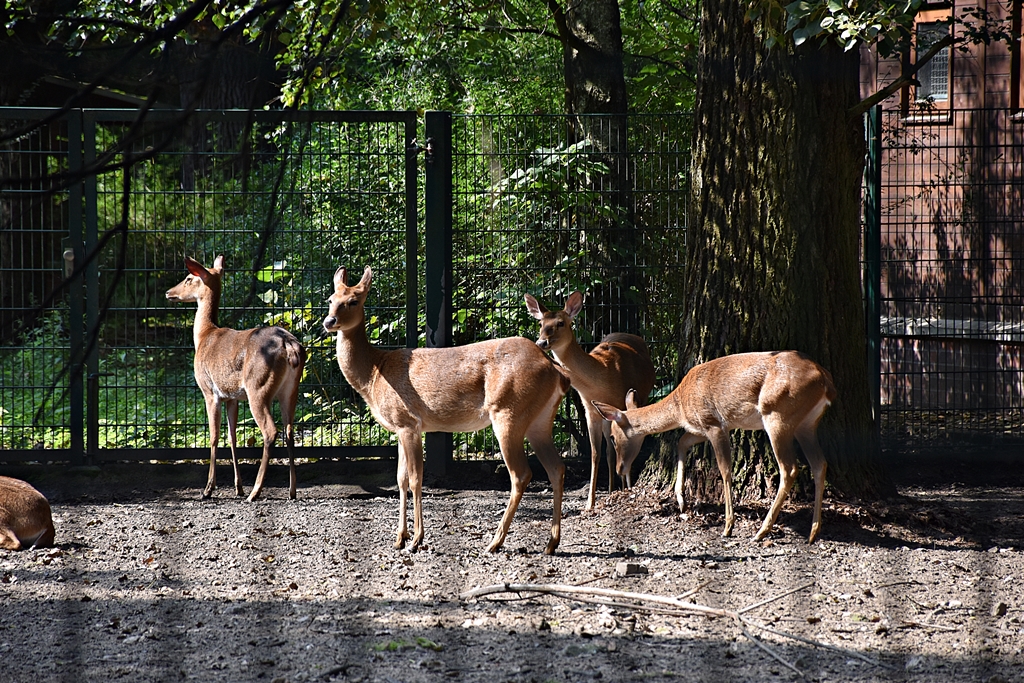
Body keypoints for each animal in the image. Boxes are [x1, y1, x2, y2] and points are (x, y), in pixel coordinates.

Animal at [166, 255, 306, 502]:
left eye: (189, 278)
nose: (168, 292)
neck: (204, 336)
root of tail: (289, 345)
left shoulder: (210, 391)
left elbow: (213, 436)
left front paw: (208, 489)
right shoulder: (232, 397)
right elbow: (232, 437)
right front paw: (238, 487)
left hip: (258, 387)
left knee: (271, 431)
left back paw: (255, 492)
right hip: (291, 389)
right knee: (290, 430)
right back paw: (291, 490)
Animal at [323, 265, 571, 554]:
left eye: (353, 301)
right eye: (331, 299)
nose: (329, 321)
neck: (374, 374)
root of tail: (556, 370)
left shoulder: (409, 422)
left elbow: (416, 478)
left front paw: (416, 540)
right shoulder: (399, 428)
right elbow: (400, 479)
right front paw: (399, 538)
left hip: (508, 411)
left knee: (521, 474)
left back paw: (495, 542)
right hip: (540, 420)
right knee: (556, 468)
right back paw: (551, 543)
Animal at [524, 291, 656, 510]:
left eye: (561, 323)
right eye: (541, 323)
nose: (542, 342)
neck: (602, 377)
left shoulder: (619, 404)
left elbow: (619, 445)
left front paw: (623, 489)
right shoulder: (589, 410)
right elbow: (596, 453)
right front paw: (590, 502)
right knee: (608, 450)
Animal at [593, 351, 836, 543]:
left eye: (612, 437)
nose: (619, 469)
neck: (680, 405)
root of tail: (825, 380)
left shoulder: (714, 424)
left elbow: (725, 469)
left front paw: (728, 526)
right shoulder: (700, 428)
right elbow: (681, 443)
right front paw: (681, 501)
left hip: (778, 416)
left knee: (790, 468)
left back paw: (761, 532)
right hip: (807, 424)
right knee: (819, 464)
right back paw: (813, 532)